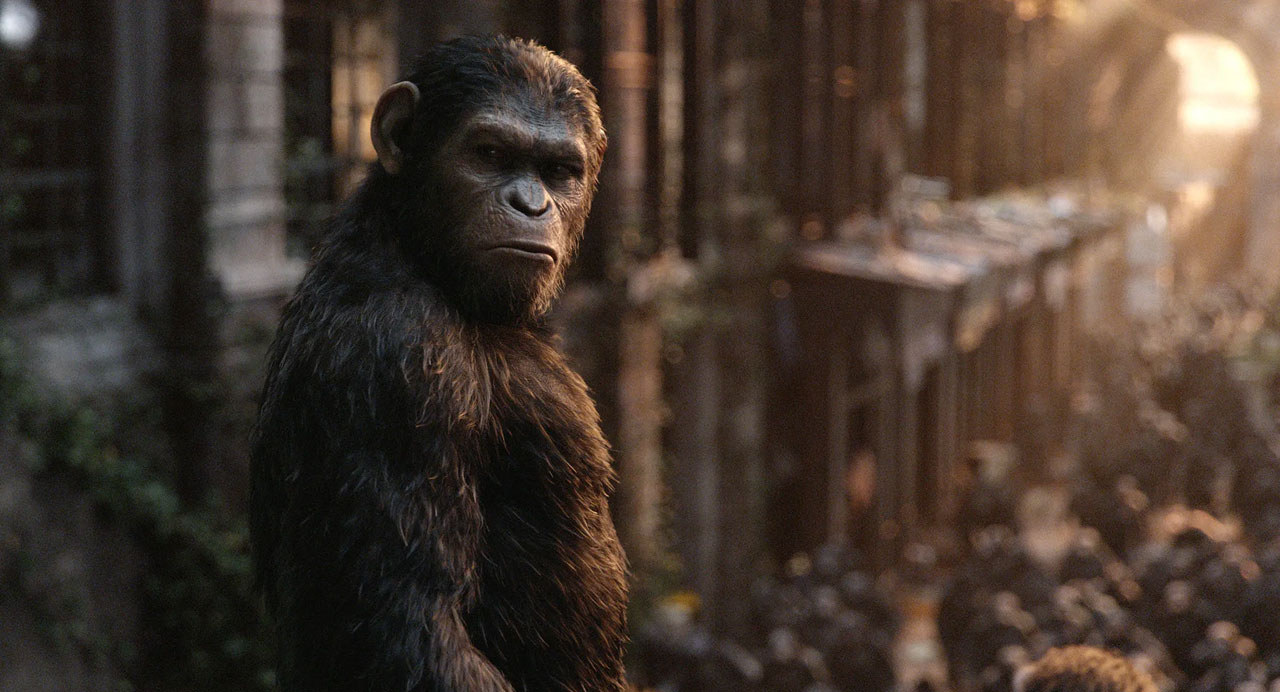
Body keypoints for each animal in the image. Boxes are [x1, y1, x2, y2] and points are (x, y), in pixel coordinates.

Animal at [250, 36, 627, 692]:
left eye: (559, 171)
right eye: (490, 153)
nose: (531, 203)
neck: (415, 250)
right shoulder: (402, 369)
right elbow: (412, 628)